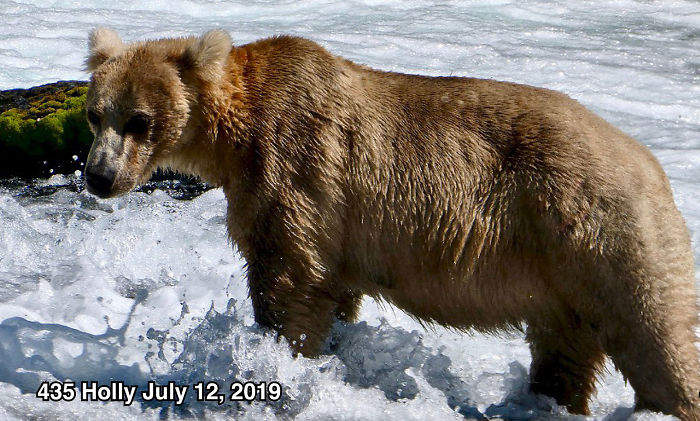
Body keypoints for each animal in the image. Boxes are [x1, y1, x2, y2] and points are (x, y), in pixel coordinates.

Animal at [83, 27, 700, 418]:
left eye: (139, 120)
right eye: (95, 114)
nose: (98, 176)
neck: (236, 133)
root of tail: (654, 168)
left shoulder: (294, 167)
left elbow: (288, 278)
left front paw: (275, 360)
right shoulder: (333, 226)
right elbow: (332, 289)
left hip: (597, 232)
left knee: (653, 333)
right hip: (562, 277)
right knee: (564, 351)